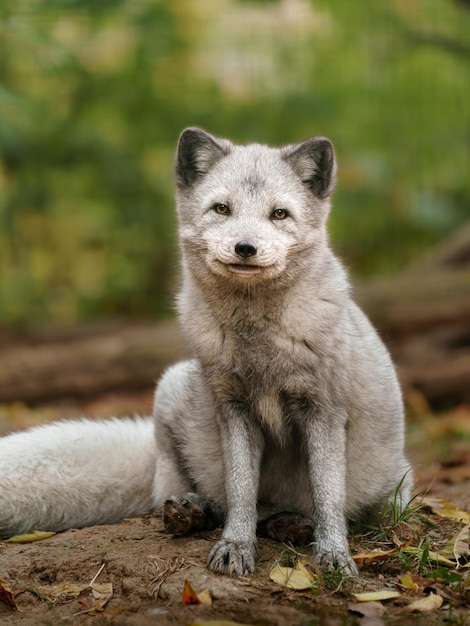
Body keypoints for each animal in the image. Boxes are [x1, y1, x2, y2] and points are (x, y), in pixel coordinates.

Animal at [0, 127, 412, 576]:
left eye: (279, 214)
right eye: (221, 209)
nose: (245, 247)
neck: (256, 342)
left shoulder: (323, 410)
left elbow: (327, 494)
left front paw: (335, 553)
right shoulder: (232, 407)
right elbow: (240, 490)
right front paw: (236, 545)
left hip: (395, 491)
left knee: (302, 510)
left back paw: (292, 524)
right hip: (171, 390)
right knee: (203, 496)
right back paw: (195, 511)